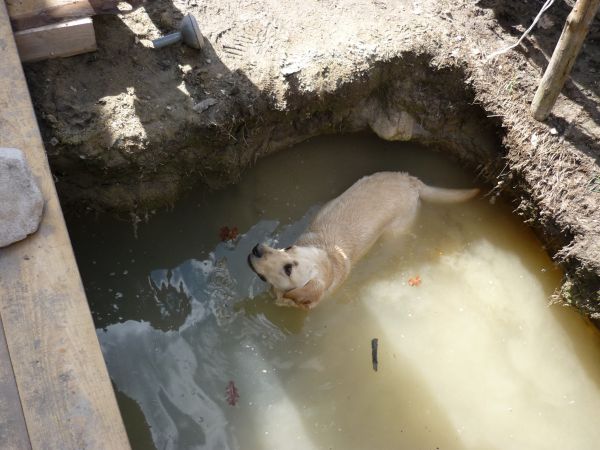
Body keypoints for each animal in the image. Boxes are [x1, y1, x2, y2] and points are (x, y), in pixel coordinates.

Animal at [248, 171, 478, 310]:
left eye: (288, 270)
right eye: (288, 247)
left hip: (396, 231)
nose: (257, 249)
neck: (330, 257)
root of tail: (413, 182)